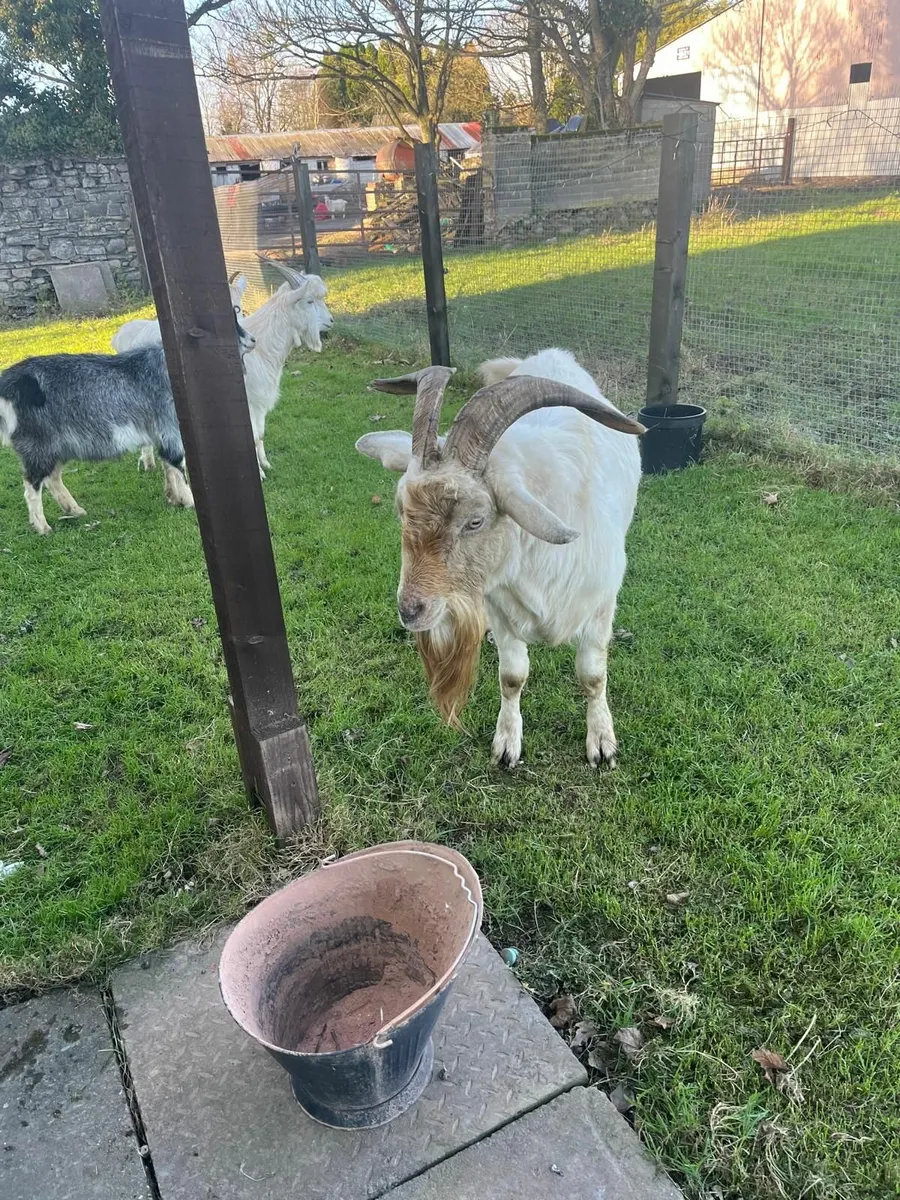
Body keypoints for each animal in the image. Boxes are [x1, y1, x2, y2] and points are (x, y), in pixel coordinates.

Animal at [0, 311, 254, 535]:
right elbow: (177, 464)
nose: (252, 340)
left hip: (57, 445)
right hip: (37, 443)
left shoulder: (160, 432)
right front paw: (190, 502)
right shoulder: (170, 427)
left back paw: (75, 510)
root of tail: (8, 386)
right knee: (32, 485)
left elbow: (168, 466)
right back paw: (43, 527)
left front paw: (173, 498)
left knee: (52, 478)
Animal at [355, 349, 645, 767]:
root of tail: (551, 355)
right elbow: (512, 676)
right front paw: (507, 744)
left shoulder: (601, 604)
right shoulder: (498, 604)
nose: (410, 611)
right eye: (401, 510)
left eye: (476, 520)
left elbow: (592, 676)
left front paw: (602, 743)